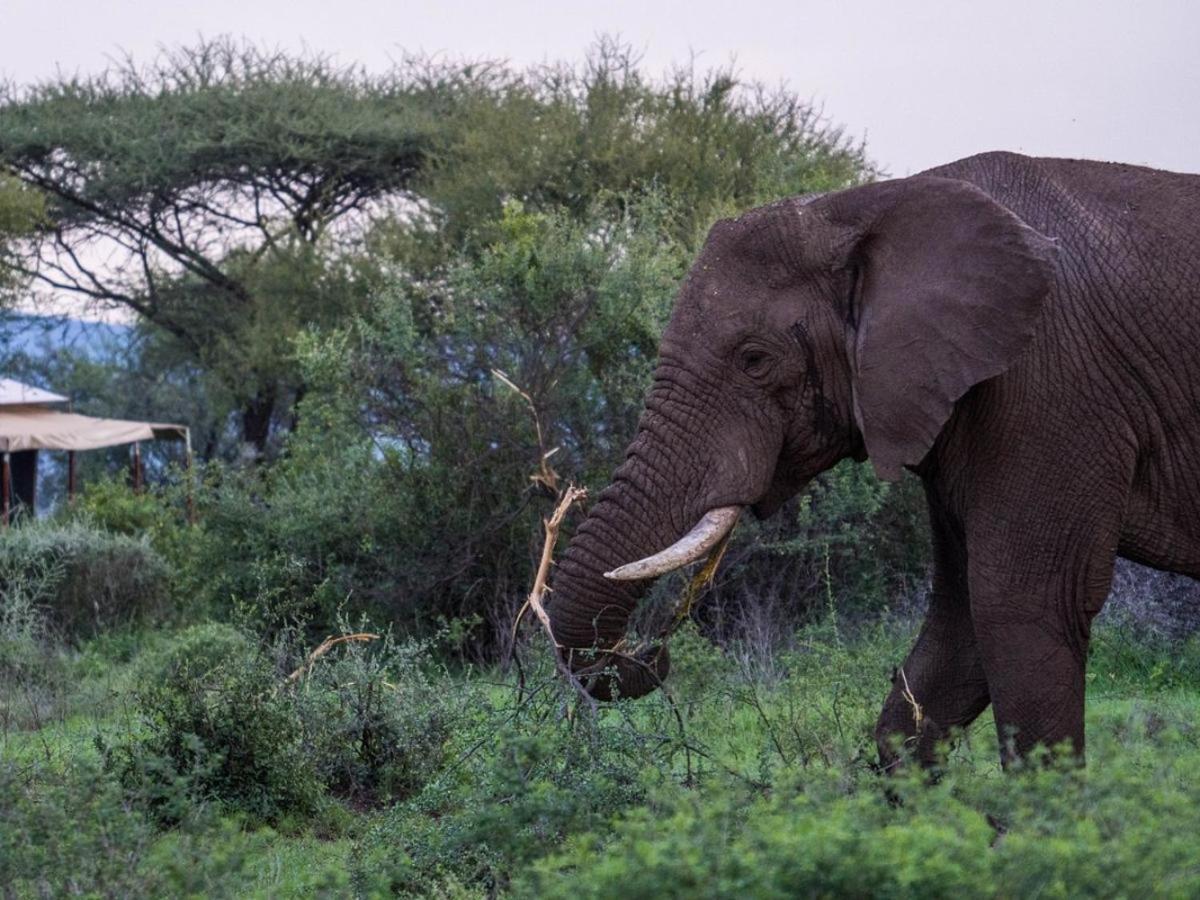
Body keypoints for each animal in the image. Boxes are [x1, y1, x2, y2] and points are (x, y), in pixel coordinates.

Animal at [549, 150, 1200, 768]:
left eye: (754, 359)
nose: (654, 653)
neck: (863, 207)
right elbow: (956, 629)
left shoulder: (1049, 387)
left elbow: (1022, 607)